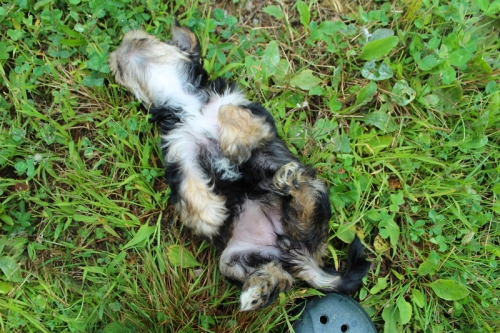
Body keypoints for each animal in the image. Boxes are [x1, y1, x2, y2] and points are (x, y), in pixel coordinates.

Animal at [107, 23, 370, 312]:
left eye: (144, 39)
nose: (122, 45)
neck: (187, 103)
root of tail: (299, 255)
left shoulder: (249, 110)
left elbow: (228, 110)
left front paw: (236, 143)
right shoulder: (179, 149)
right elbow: (188, 181)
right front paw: (208, 215)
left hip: (316, 195)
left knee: (308, 207)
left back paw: (292, 184)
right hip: (237, 259)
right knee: (281, 277)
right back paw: (259, 289)